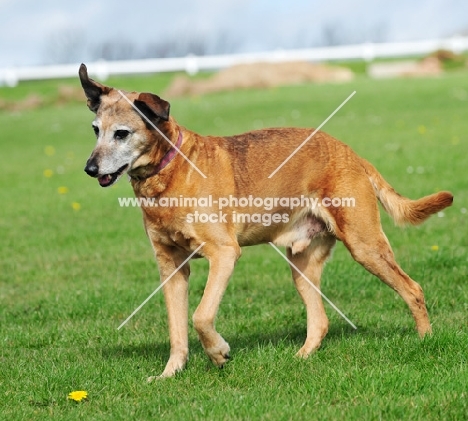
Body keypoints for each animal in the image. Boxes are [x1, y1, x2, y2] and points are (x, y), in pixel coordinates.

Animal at [79, 63, 454, 380]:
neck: (170, 171)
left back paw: (425, 340)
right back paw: (300, 358)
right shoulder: (171, 267)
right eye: (95, 130)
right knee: (320, 321)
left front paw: (218, 353)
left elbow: (201, 316)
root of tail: (352, 154)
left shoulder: (224, 253)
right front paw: (170, 373)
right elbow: (177, 330)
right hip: (302, 265)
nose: (90, 169)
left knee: (413, 289)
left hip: (365, 245)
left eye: (122, 133)